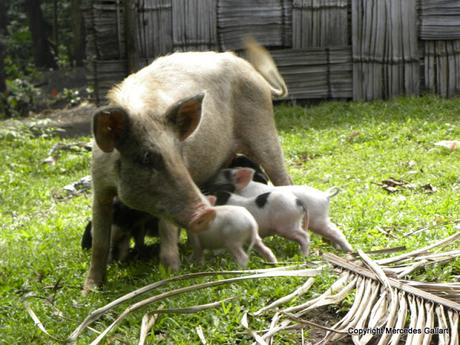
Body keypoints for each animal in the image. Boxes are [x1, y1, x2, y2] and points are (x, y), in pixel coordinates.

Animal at [84, 41, 290, 292]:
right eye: (146, 157)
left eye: (179, 154)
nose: (206, 212)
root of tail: (255, 74)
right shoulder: (100, 187)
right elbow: (99, 242)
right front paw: (89, 290)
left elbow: (167, 229)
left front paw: (171, 273)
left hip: (264, 131)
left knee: (283, 177)